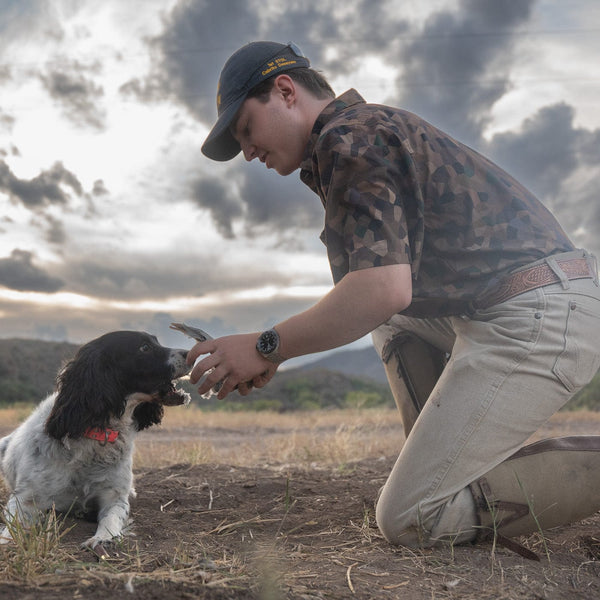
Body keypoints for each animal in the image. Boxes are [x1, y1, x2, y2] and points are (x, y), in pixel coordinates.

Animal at [0, 330, 191, 556]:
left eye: (156, 341)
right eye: (144, 347)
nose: (190, 353)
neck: (97, 433)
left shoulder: (114, 496)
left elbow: (111, 518)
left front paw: (103, 538)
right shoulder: (26, 498)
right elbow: (12, 526)